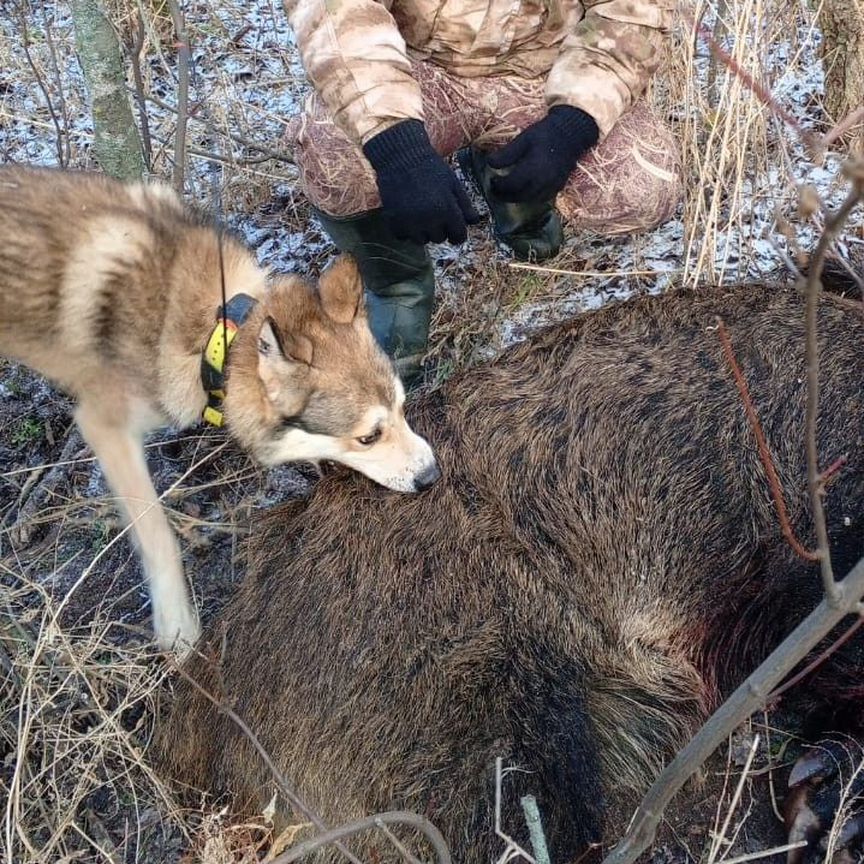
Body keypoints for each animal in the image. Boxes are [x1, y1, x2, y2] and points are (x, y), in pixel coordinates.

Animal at [0, 165, 442, 656]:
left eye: (403, 407)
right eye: (368, 437)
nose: (432, 476)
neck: (214, 333)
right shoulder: (104, 427)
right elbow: (158, 533)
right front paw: (176, 626)